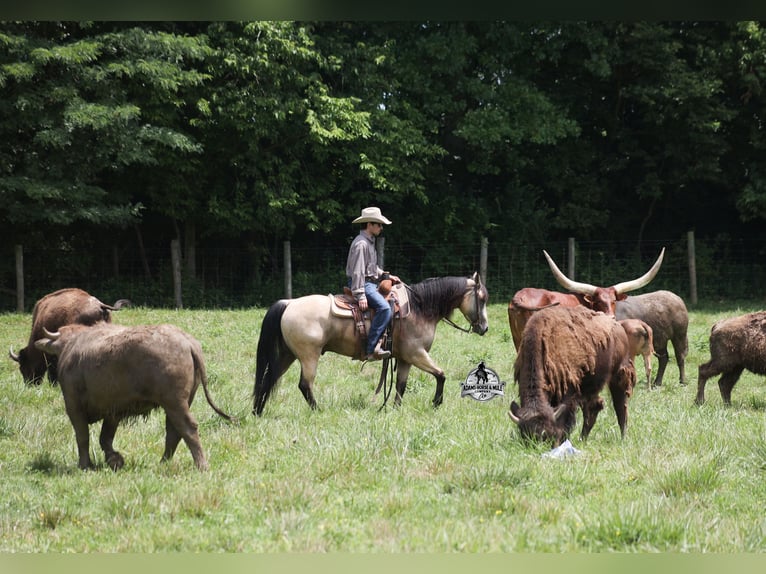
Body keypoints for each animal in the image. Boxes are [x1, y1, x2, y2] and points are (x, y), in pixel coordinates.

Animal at [252, 272, 489, 415]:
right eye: (482, 299)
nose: (485, 328)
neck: (419, 308)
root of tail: (289, 303)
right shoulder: (417, 354)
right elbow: (441, 374)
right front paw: (436, 402)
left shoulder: (405, 358)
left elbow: (401, 385)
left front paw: (395, 408)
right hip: (308, 355)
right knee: (304, 384)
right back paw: (318, 411)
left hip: (287, 355)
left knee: (269, 379)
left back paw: (257, 411)